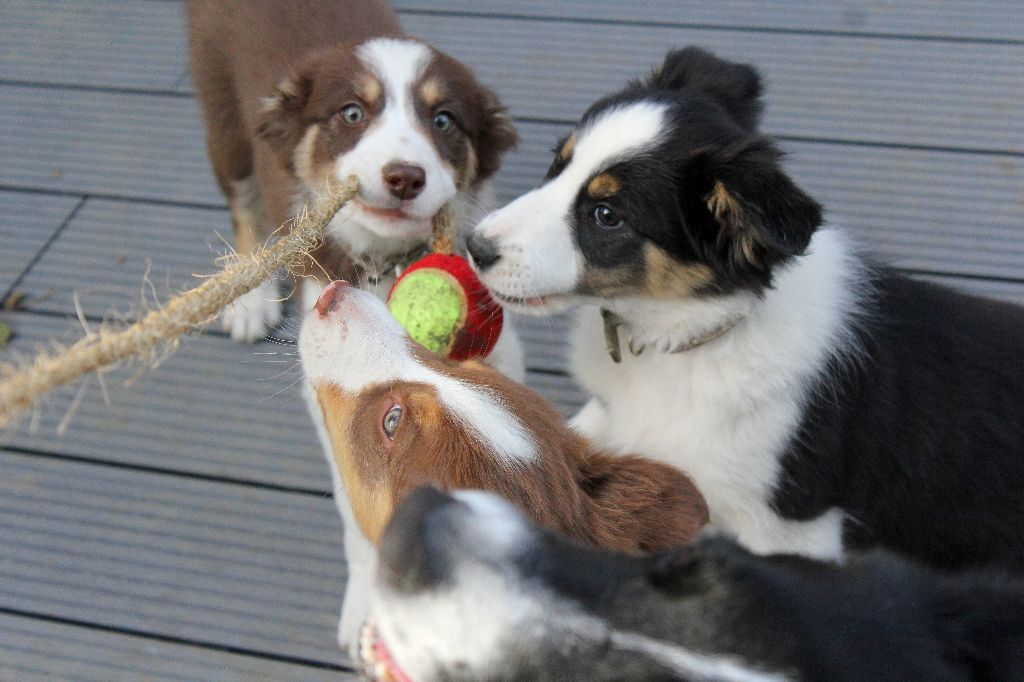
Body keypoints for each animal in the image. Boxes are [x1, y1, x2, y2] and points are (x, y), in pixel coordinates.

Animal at [187, 1, 520, 366]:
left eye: (443, 120)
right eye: (352, 114)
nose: (405, 179)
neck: (383, 259)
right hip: (225, 121)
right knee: (243, 205)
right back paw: (251, 303)